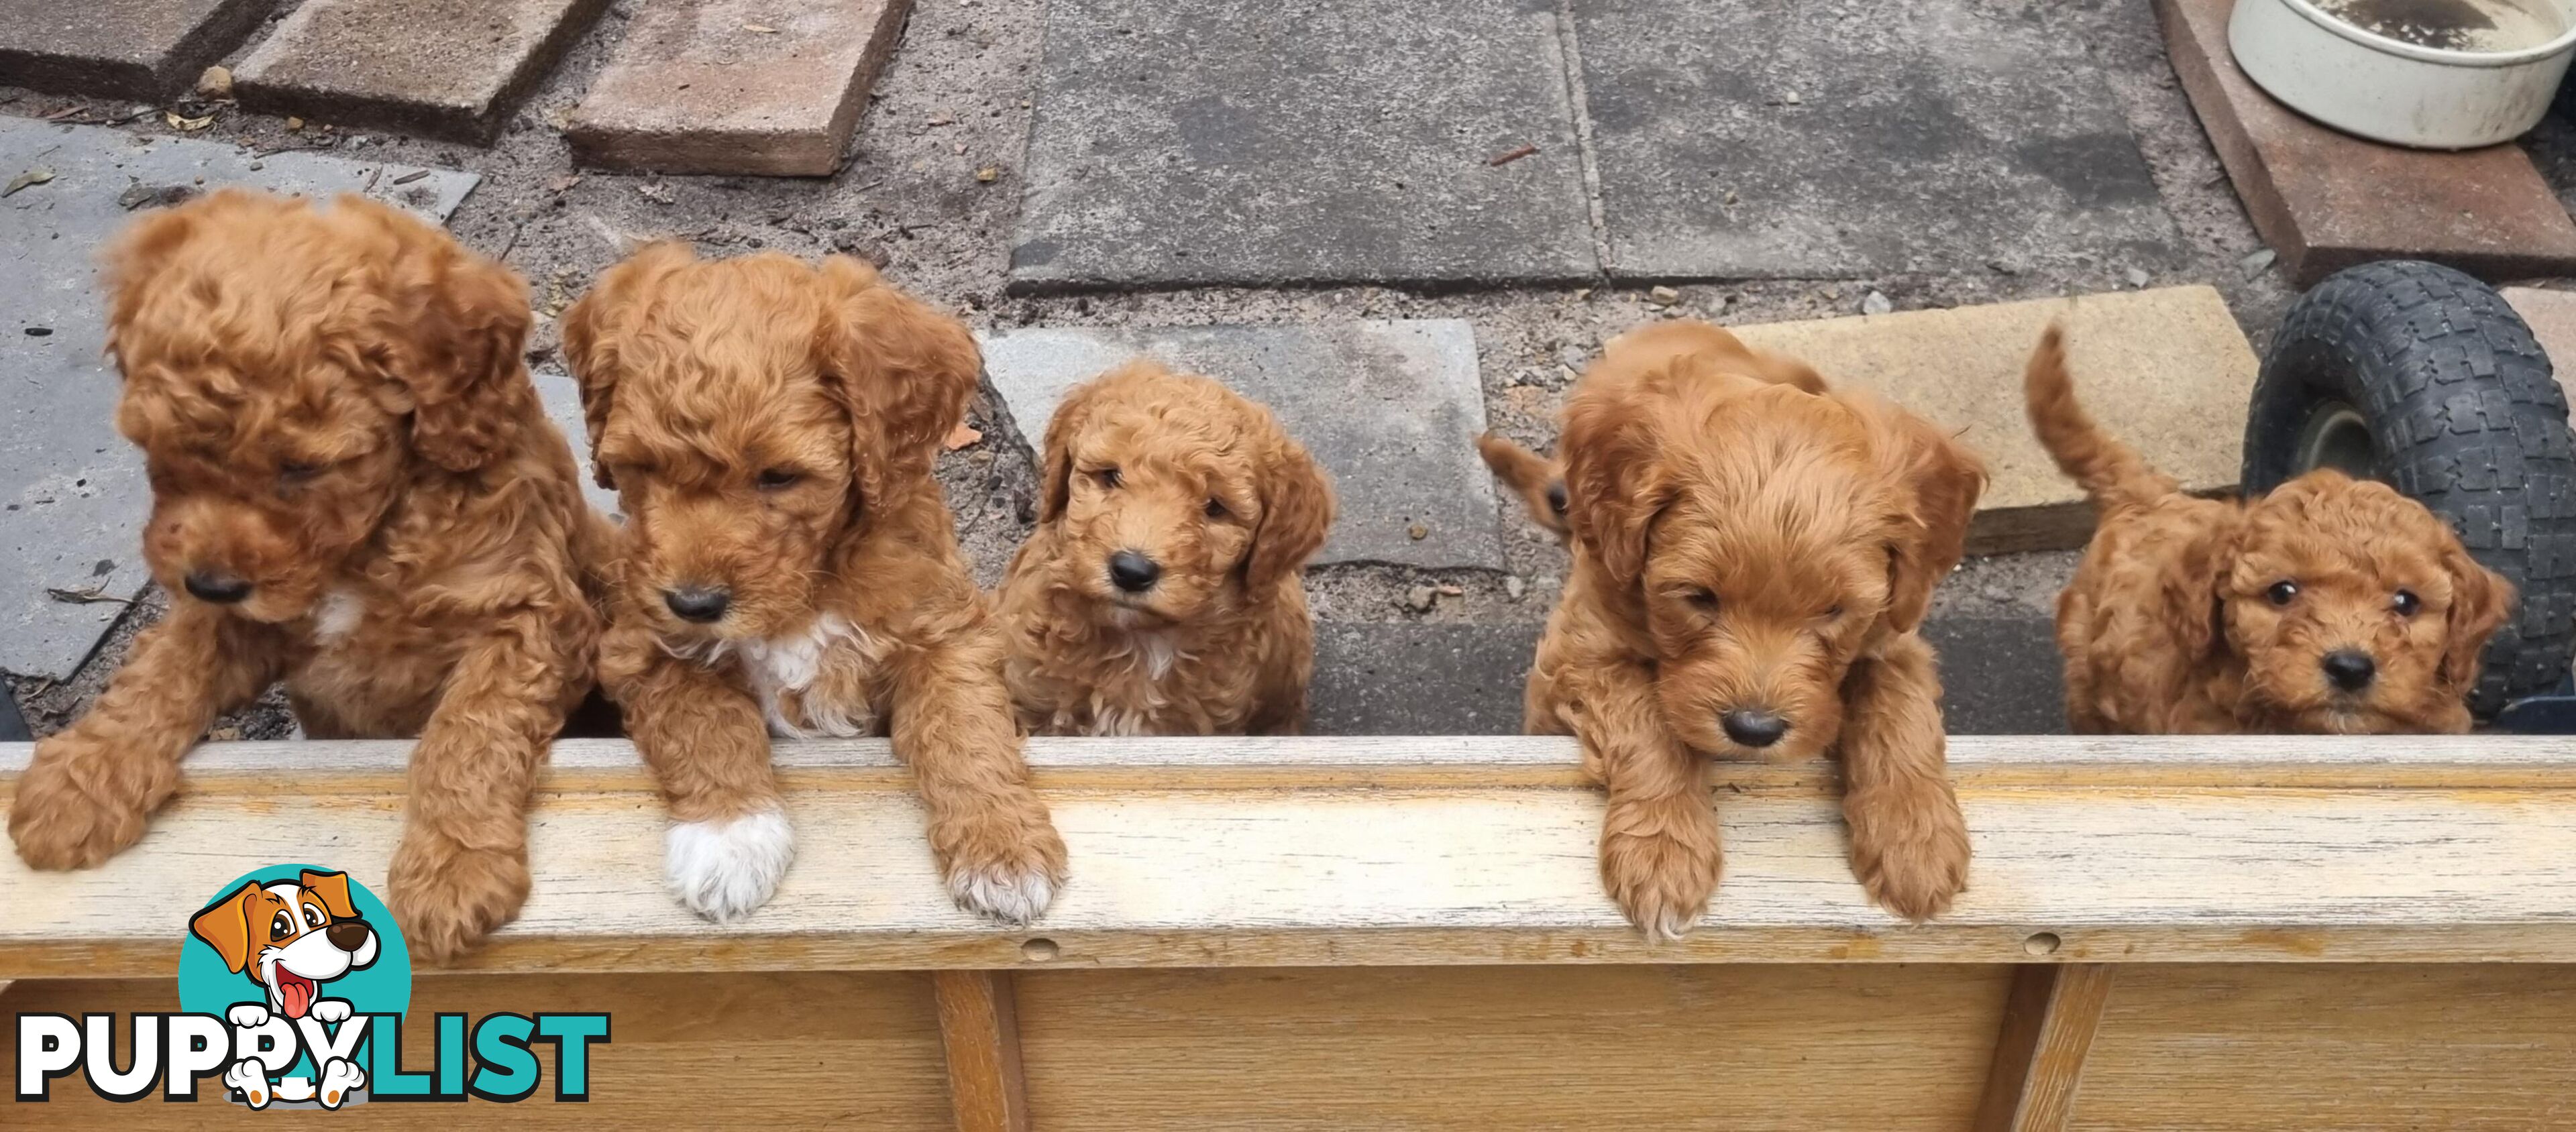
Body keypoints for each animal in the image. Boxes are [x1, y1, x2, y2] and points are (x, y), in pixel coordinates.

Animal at [6, 188, 608, 962]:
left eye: (302, 467)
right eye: (154, 449)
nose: (210, 583)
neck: (362, 548)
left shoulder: (531, 612)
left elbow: (471, 728)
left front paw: (453, 867)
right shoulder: (239, 615)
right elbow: (163, 669)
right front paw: (79, 779)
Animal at [564, 243, 1066, 926]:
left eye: (780, 476)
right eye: (641, 466)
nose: (694, 604)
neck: (806, 589)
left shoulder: (945, 630)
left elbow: (965, 726)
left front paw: (1003, 846)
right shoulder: (642, 643)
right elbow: (701, 720)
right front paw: (730, 837)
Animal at [1525, 319, 1988, 936]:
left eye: (1833, 610)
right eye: (1699, 598)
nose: (1754, 729)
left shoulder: (1896, 635)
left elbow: (1900, 708)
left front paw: (1915, 836)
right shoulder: (1578, 651)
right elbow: (1643, 716)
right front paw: (1662, 849)